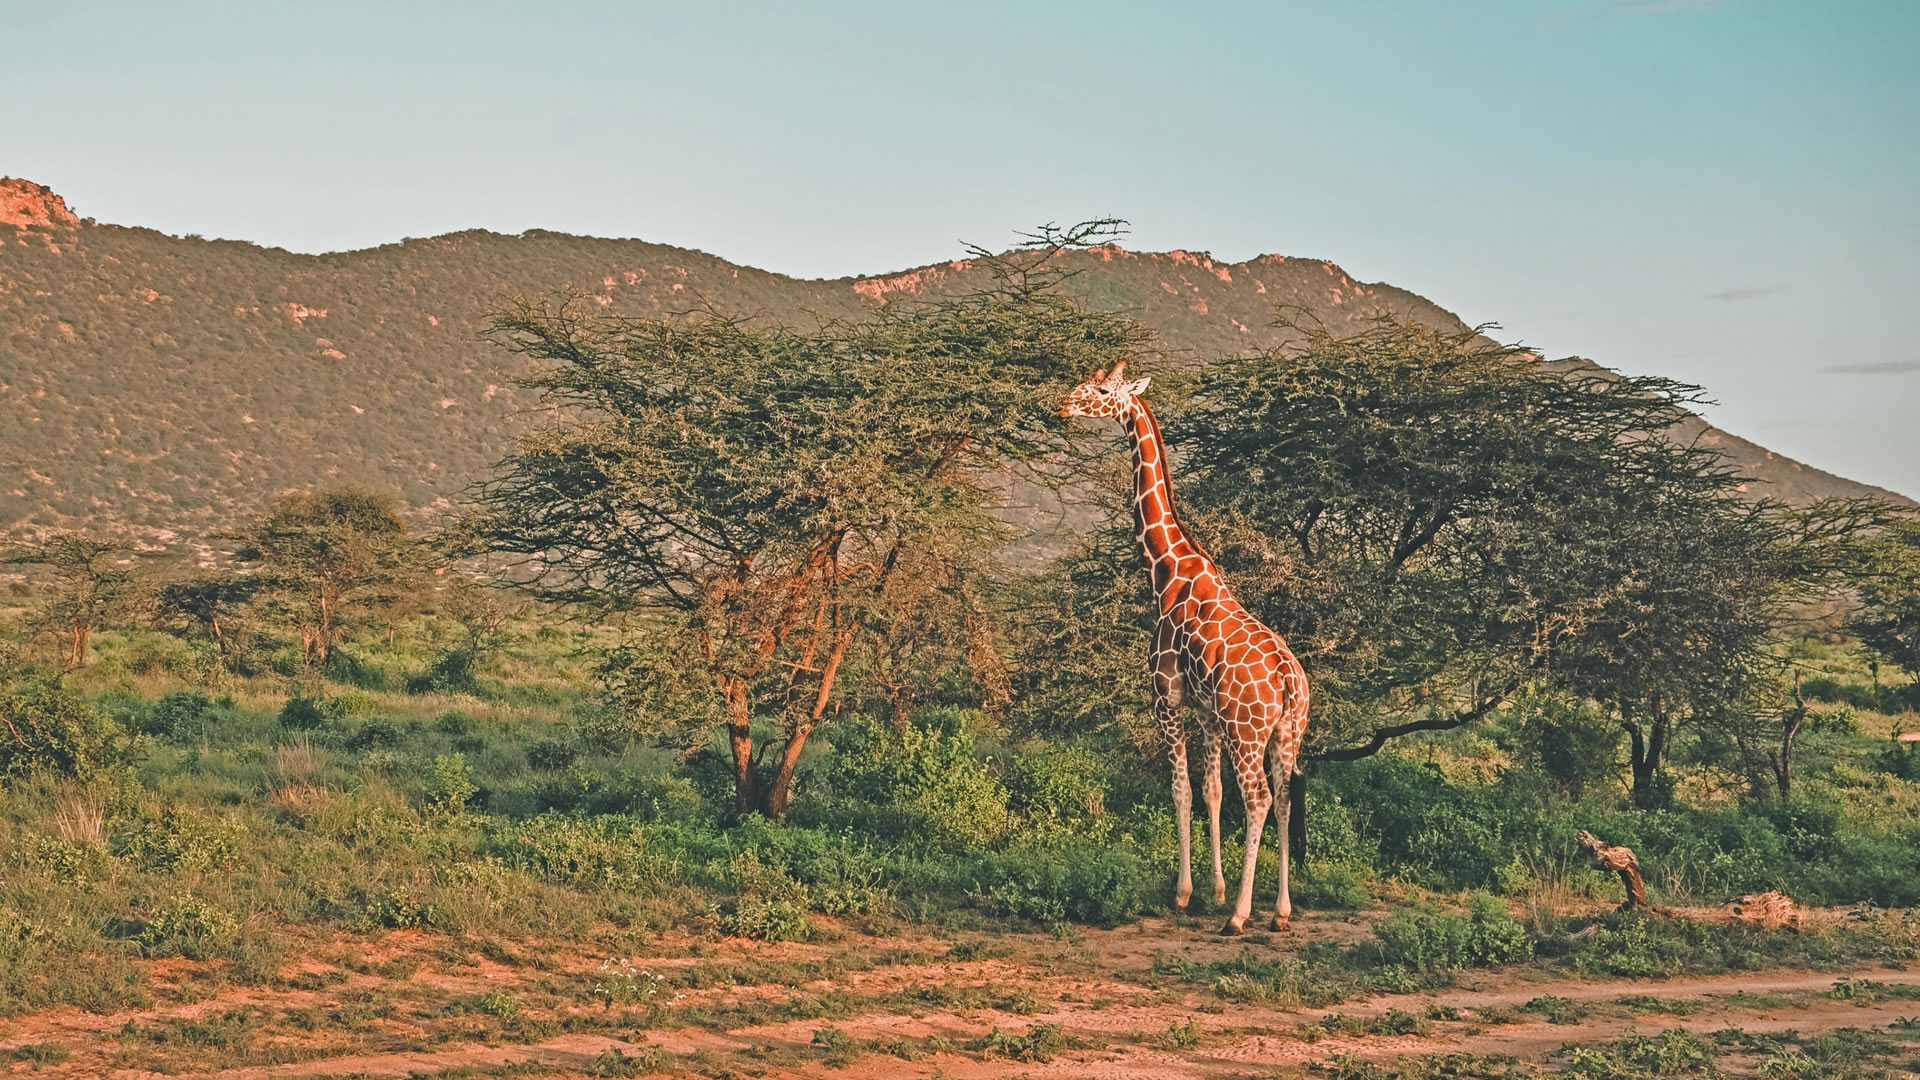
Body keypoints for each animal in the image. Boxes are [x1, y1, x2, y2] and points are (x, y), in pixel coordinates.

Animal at [1059, 362, 1310, 934]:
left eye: (1101, 390)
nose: (1063, 405)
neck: (1166, 571)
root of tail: (1289, 678)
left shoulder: (1167, 701)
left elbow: (1181, 790)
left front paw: (1185, 893)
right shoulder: (1207, 715)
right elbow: (1211, 792)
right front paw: (1214, 889)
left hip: (1248, 731)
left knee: (1260, 799)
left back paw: (1241, 916)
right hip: (1288, 730)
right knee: (1286, 797)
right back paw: (1280, 912)